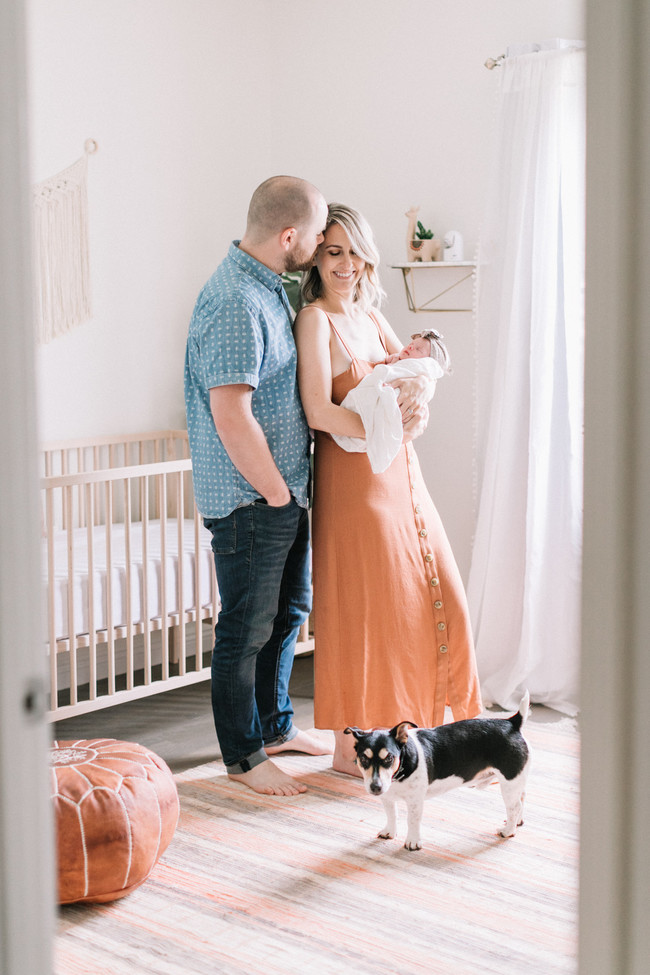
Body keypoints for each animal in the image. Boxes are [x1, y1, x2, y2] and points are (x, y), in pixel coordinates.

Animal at [342, 692, 528, 848]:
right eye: (363, 759)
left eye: (389, 758)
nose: (375, 787)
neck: (399, 773)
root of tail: (512, 722)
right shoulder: (387, 798)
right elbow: (392, 815)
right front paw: (389, 832)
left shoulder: (415, 801)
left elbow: (412, 820)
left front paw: (413, 842)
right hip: (516, 782)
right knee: (520, 801)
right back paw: (517, 822)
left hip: (509, 784)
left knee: (514, 807)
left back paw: (508, 831)